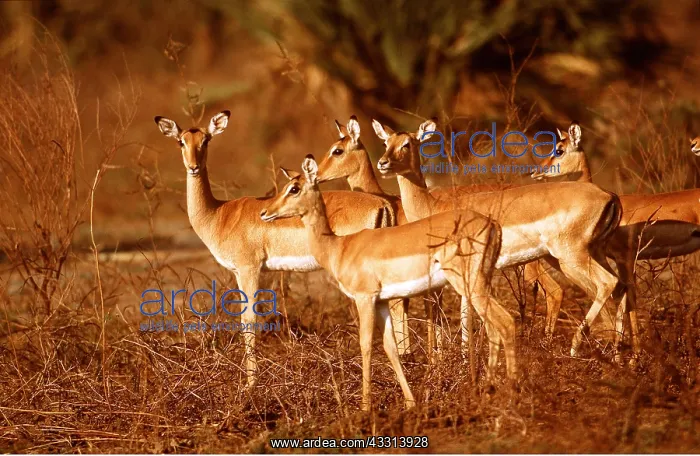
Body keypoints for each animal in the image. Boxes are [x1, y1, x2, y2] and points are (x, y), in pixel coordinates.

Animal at [154, 111, 398, 388]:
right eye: (181, 142)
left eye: (205, 140)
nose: (193, 167)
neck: (219, 215)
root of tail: (382, 204)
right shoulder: (238, 272)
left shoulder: (249, 268)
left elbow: (248, 319)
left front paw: (251, 384)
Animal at [260, 155, 516, 411]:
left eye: (294, 188)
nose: (264, 212)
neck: (338, 247)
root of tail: (492, 224)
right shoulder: (382, 302)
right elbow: (390, 348)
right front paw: (411, 402)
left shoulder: (365, 298)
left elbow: (366, 345)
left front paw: (365, 407)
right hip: (480, 283)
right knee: (494, 329)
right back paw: (488, 391)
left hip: (470, 284)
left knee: (505, 323)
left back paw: (511, 391)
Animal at [373, 118, 628, 359]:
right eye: (386, 143)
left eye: (407, 144)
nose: (383, 163)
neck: (434, 206)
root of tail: (609, 195)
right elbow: (466, 312)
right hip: (592, 254)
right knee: (621, 288)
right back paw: (617, 353)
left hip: (571, 257)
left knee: (606, 283)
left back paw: (577, 347)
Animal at [531, 122, 700, 358]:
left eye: (559, 150)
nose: (535, 172)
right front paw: (619, 352)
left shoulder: (625, 258)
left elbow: (629, 299)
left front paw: (632, 357)